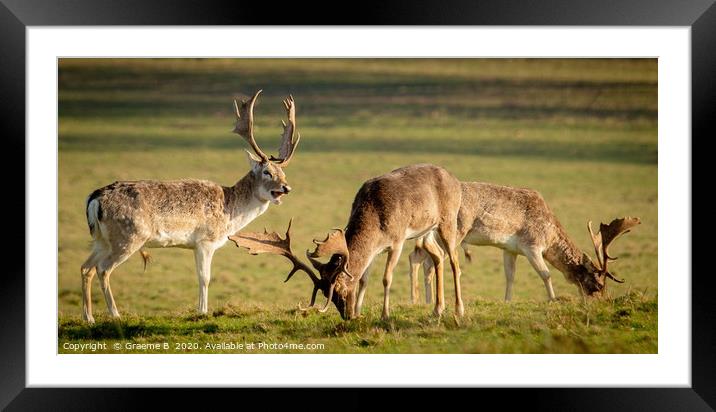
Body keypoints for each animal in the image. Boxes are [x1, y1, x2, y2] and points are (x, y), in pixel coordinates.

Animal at [80, 89, 300, 322]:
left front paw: (201, 309)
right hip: (128, 236)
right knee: (103, 269)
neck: (229, 213)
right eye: (267, 172)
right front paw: (202, 311)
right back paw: (115, 314)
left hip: (101, 239)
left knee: (86, 268)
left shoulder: (195, 245)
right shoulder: (205, 240)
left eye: (283, 172)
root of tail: (94, 199)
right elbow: (205, 277)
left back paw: (89, 318)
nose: (286, 187)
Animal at [229, 163, 464, 320]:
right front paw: (360, 312)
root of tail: (455, 179)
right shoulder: (375, 250)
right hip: (427, 231)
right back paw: (437, 309)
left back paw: (458, 310)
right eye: (327, 295)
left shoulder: (397, 240)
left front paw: (385, 316)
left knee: (454, 260)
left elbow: (386, 278)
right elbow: (364, 278)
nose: (347, 316)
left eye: (340, 291)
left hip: (448, 220)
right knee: (438, 256)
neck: (376, 218)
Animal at [406, 182, 640, 304]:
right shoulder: (532, 245)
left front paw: (507, 301)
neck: (550, 235)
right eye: (598, 283)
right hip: (455, 232)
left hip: (431, 235)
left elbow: (510, 276)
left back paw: (421, 301)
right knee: (429, 261)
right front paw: (552, 300)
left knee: (418, 257)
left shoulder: (509, 249)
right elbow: (546, 273)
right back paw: (428, 301)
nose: (601, 300)